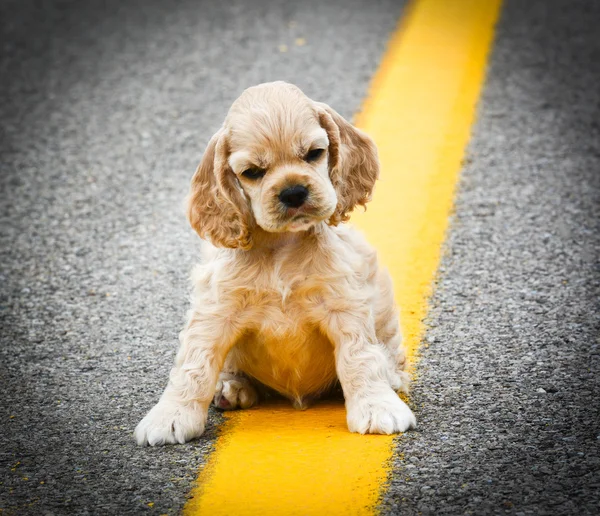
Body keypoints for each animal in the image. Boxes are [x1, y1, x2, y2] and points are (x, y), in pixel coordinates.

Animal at [135, 81, 418, 448]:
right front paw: (170, 417)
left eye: (314, 153)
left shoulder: (344, 304)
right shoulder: (214, 311)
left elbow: (360, 357)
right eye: (252, 173)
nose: (294, 192)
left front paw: (377, 406)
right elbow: (192, 366)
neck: (282, 248)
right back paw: (231, 388)